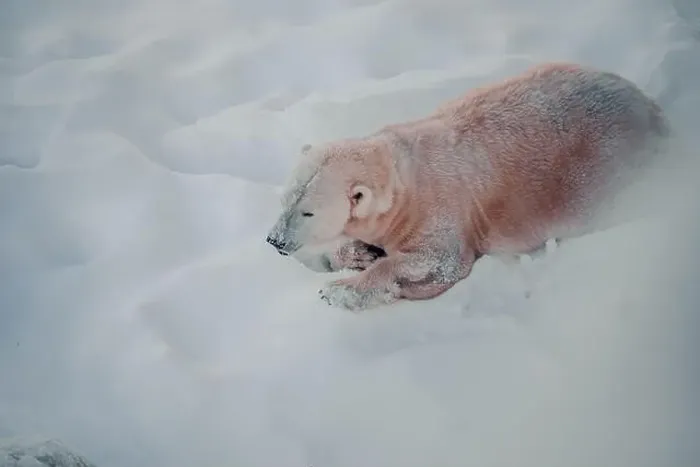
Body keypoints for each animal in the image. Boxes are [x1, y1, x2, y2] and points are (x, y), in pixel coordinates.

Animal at [265, 61, 670, 311]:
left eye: (308, 211)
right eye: (285, 199)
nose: (275, 241)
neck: (401, 180)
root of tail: (652, 108)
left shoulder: (440, 211)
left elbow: (440, 261)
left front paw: (339, 291)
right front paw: (360, 252)